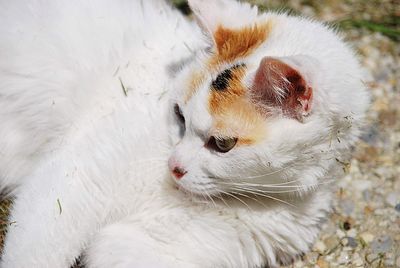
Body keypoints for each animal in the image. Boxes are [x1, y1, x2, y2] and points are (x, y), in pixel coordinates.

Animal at [0, 0, 368, 268]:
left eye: (222, 144)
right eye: (179, 115)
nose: (173, 167)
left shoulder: (152, 249)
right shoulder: (78, 180)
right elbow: (39, 246)